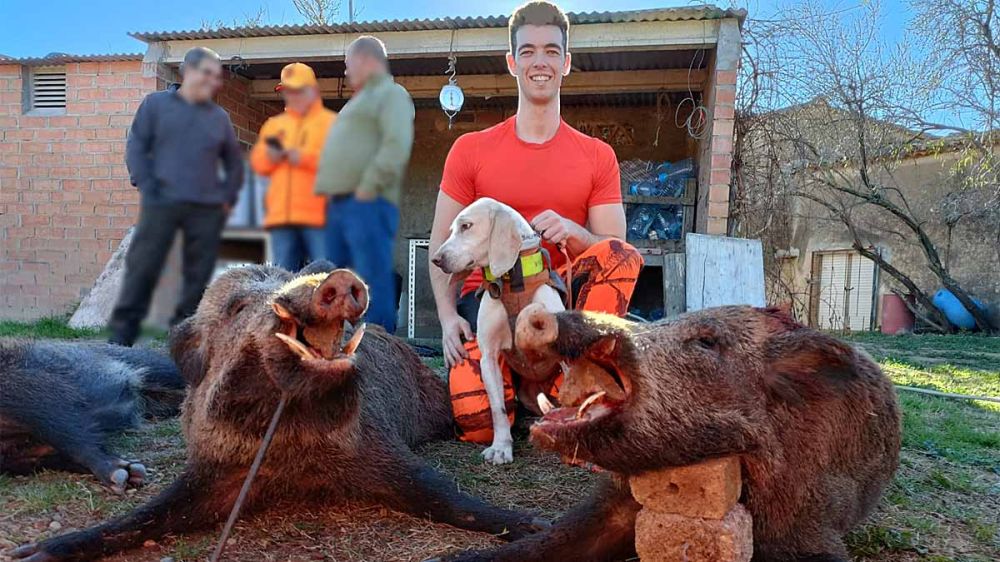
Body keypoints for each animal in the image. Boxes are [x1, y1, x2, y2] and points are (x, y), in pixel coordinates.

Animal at [432, 198, 568, 464]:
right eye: (451, 229)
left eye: (466, 226)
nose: (436, 259)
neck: (512, 280)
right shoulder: (489, 357)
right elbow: (498, 409)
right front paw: (501, 447)